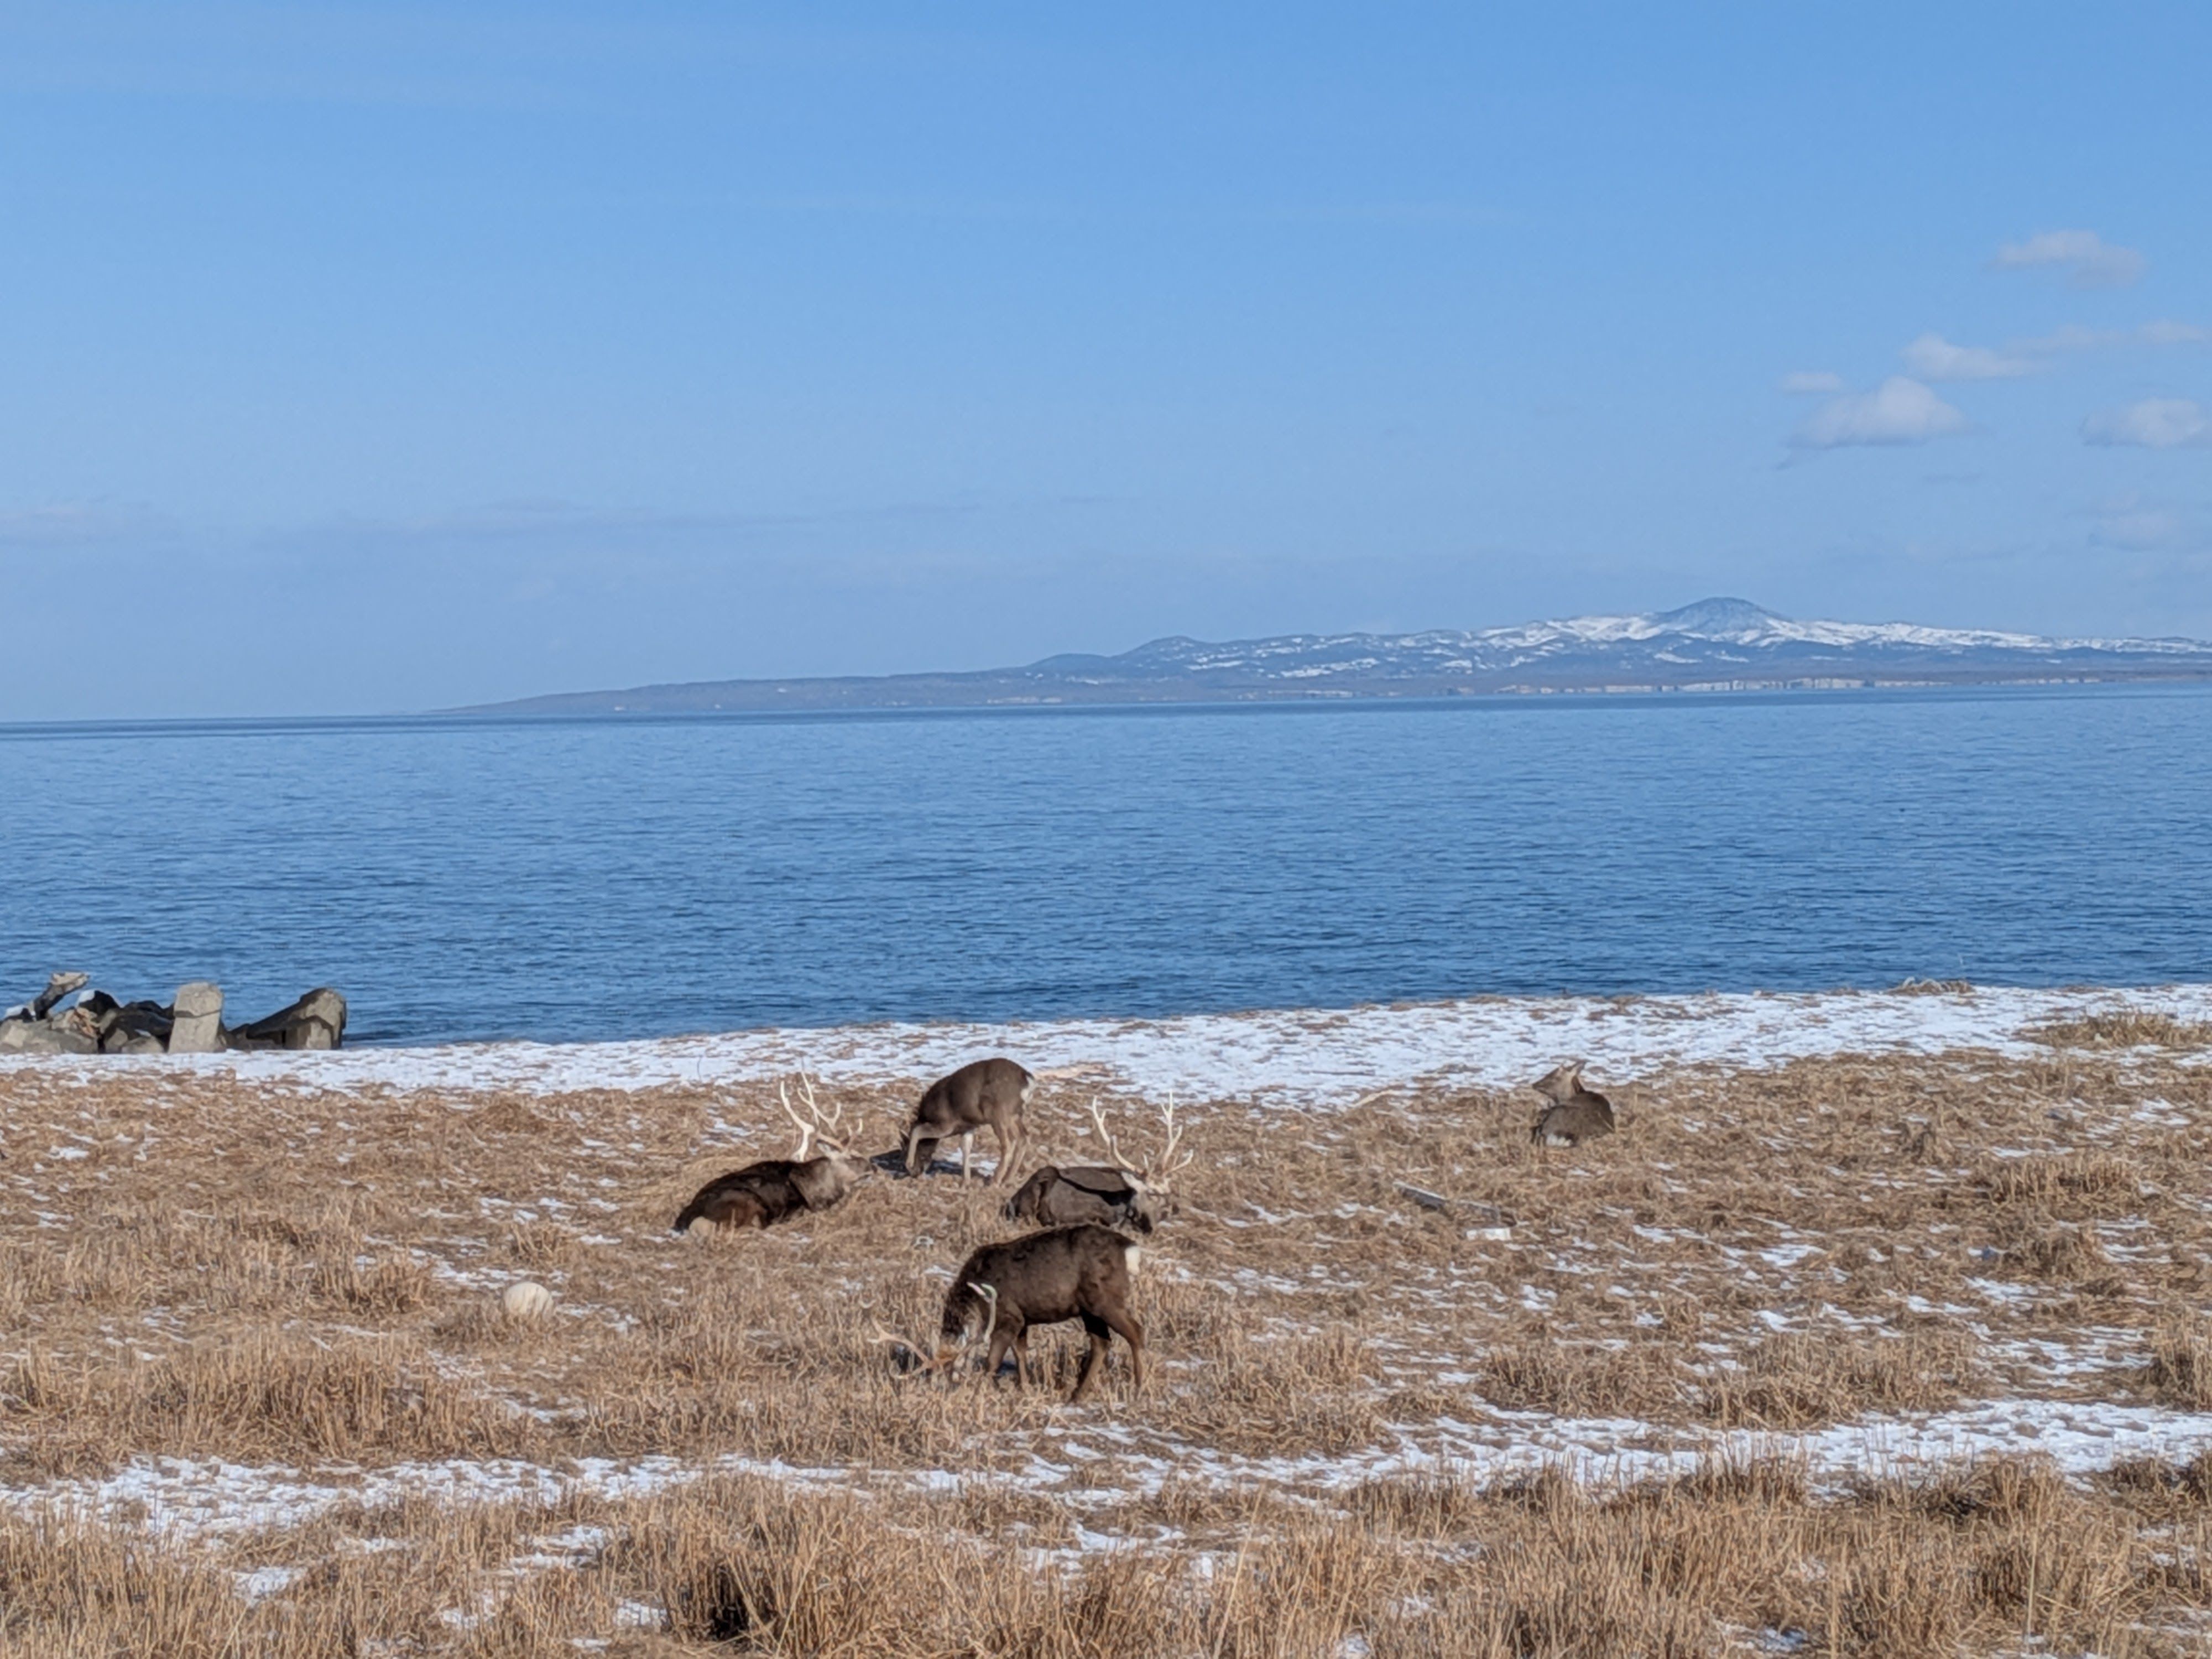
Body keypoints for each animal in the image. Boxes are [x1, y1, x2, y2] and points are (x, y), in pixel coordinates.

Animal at [902, 1056, 1035, 1184]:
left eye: (905, 1150)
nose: (914, 1173)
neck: (927, 1114)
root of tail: (1028, 1081)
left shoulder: (946, 1124)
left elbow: (917, 1131)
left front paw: (909, 1163)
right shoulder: (968, 1127)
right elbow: (966, 1148)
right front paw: (966, 1181)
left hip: (999, 1113)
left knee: (1009, 1142)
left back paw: (996, 1180)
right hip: (1016, 1115)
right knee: (1024, 1137)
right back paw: (1007, 1179)